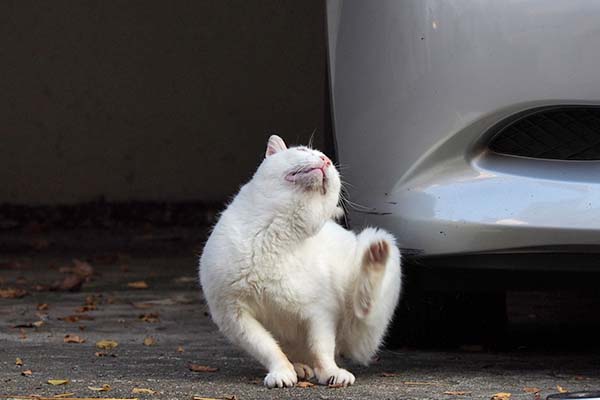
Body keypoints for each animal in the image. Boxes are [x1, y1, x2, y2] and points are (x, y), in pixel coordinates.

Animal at [199, 134, 400, 388]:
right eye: (304, 150)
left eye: (330, 162)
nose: (326, 160)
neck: (276, 234)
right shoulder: (234, 315)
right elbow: (267, 347)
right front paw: (282, 372)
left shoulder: (320, 313)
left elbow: (322, 349)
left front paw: (330, 373)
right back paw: (300, 367)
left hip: (375, 269)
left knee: (362, 311)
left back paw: (375, 255)